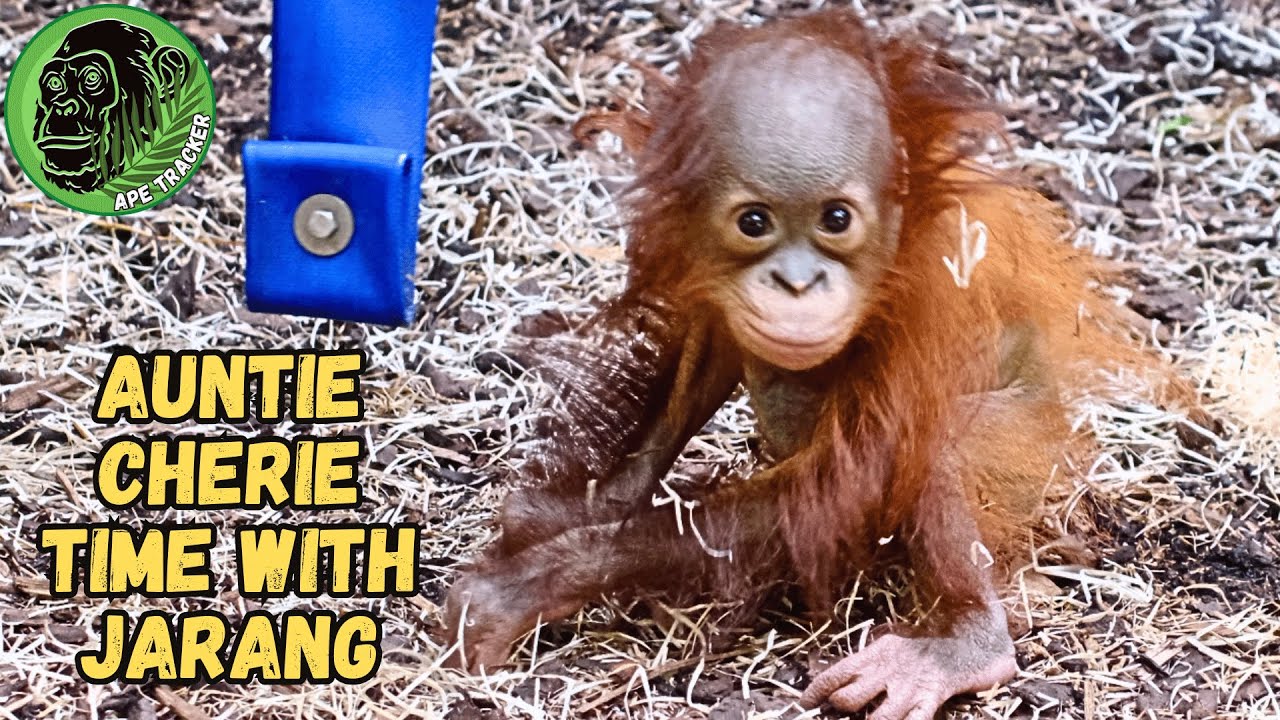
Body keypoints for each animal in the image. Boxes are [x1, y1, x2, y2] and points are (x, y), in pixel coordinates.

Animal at [443, 10, 1135, 719]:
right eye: (755, 222)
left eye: (836, 218)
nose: (798, 283)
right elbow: (708, 353)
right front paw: (586, 506)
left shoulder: (931, 295)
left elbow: (852, 479)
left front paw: (532, 582)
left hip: (1029, 450)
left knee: (937, 451)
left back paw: (963, 647)